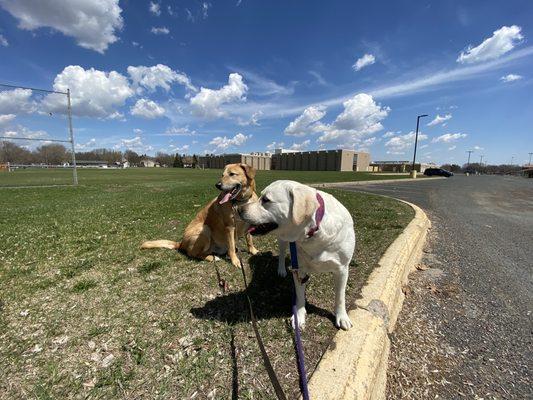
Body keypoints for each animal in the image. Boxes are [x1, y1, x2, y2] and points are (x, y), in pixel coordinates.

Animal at [239, 180, 356, 330]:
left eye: (266, 200)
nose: (238, 209)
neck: (314, 232)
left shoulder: (342, 269)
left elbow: (340, 296)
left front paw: (342, 317)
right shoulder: (299, 269)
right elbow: (300, 296)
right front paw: (299, 316)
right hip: (282, 240)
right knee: (282, 254)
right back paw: (282, 270)